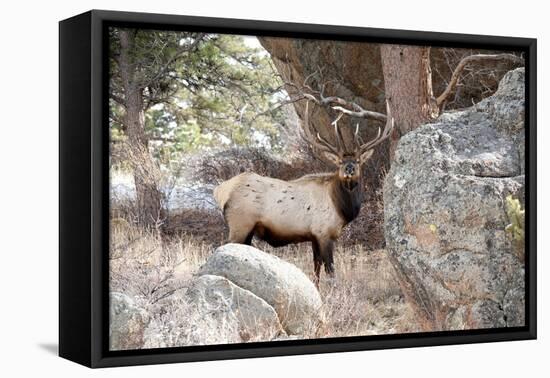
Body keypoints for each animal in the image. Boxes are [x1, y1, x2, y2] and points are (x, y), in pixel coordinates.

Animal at [213, 99, 394, 284]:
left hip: (247, 230)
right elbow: (330, 271)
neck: (341, 207)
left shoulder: (314, 236)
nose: (349, 168)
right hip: (239, 224)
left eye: (357, 161)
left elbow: (316, 270)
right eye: (339, 162)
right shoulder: (323, 232)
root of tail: (220, 190)